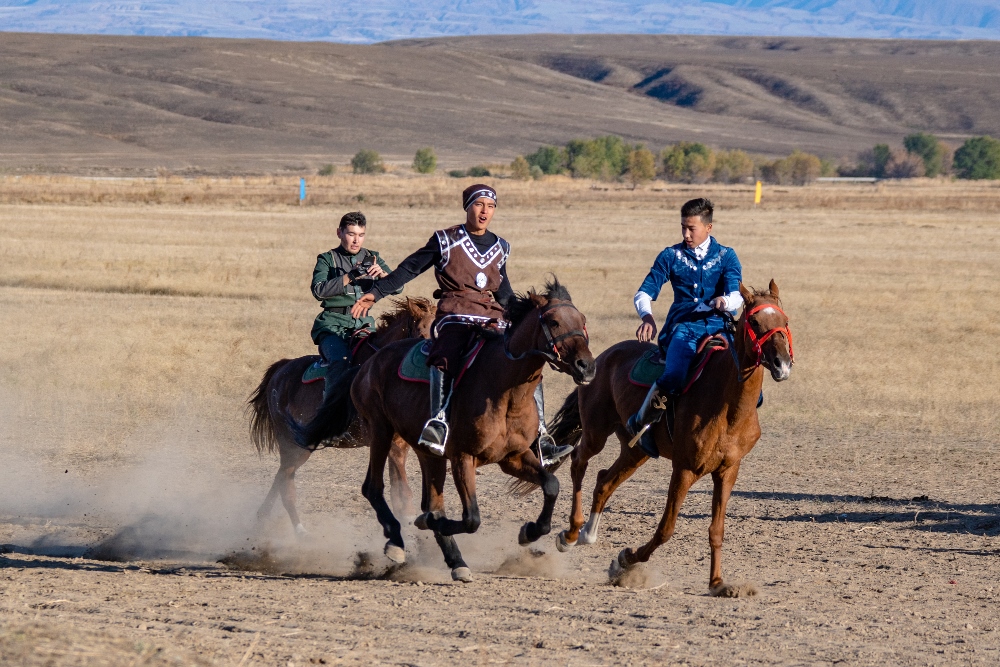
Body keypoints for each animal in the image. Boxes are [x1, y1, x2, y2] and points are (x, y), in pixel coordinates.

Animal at [246, 298, 434, 536]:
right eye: (421, 332)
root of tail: (280, 370)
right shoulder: (387, 440)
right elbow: (403, 493)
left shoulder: (401, 443)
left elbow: (399, 492)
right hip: (294, 446)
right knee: (286, 485)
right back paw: (300, 532)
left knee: (280, 478)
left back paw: (262, 520)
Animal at [344, 280, 592, 580]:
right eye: (554, 322)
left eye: (583, 321)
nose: (587, 366)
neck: (505, 390)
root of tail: (369, 362)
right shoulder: (463, 458)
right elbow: (471, 518)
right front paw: (427, 524)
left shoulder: (513, 457)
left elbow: (552, 485)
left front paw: (530, 531)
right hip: (381, 431)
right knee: (373, 487)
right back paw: (396, 541)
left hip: (429, 454)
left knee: (431, 501)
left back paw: (455, 560)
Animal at [552, 280, 792, 596]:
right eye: (754, 321)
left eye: (784, 322)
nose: (781, 363)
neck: (727, 406)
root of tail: (601, 358)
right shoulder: (685, 469)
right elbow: (665, 529)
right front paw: (625, 558)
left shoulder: (728, 471)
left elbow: (717, 530)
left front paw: (717, 583)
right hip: (596, 432)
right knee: (579, 462)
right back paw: (570, 534)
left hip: (637, 451)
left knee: (604, 480)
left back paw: (587, 534)